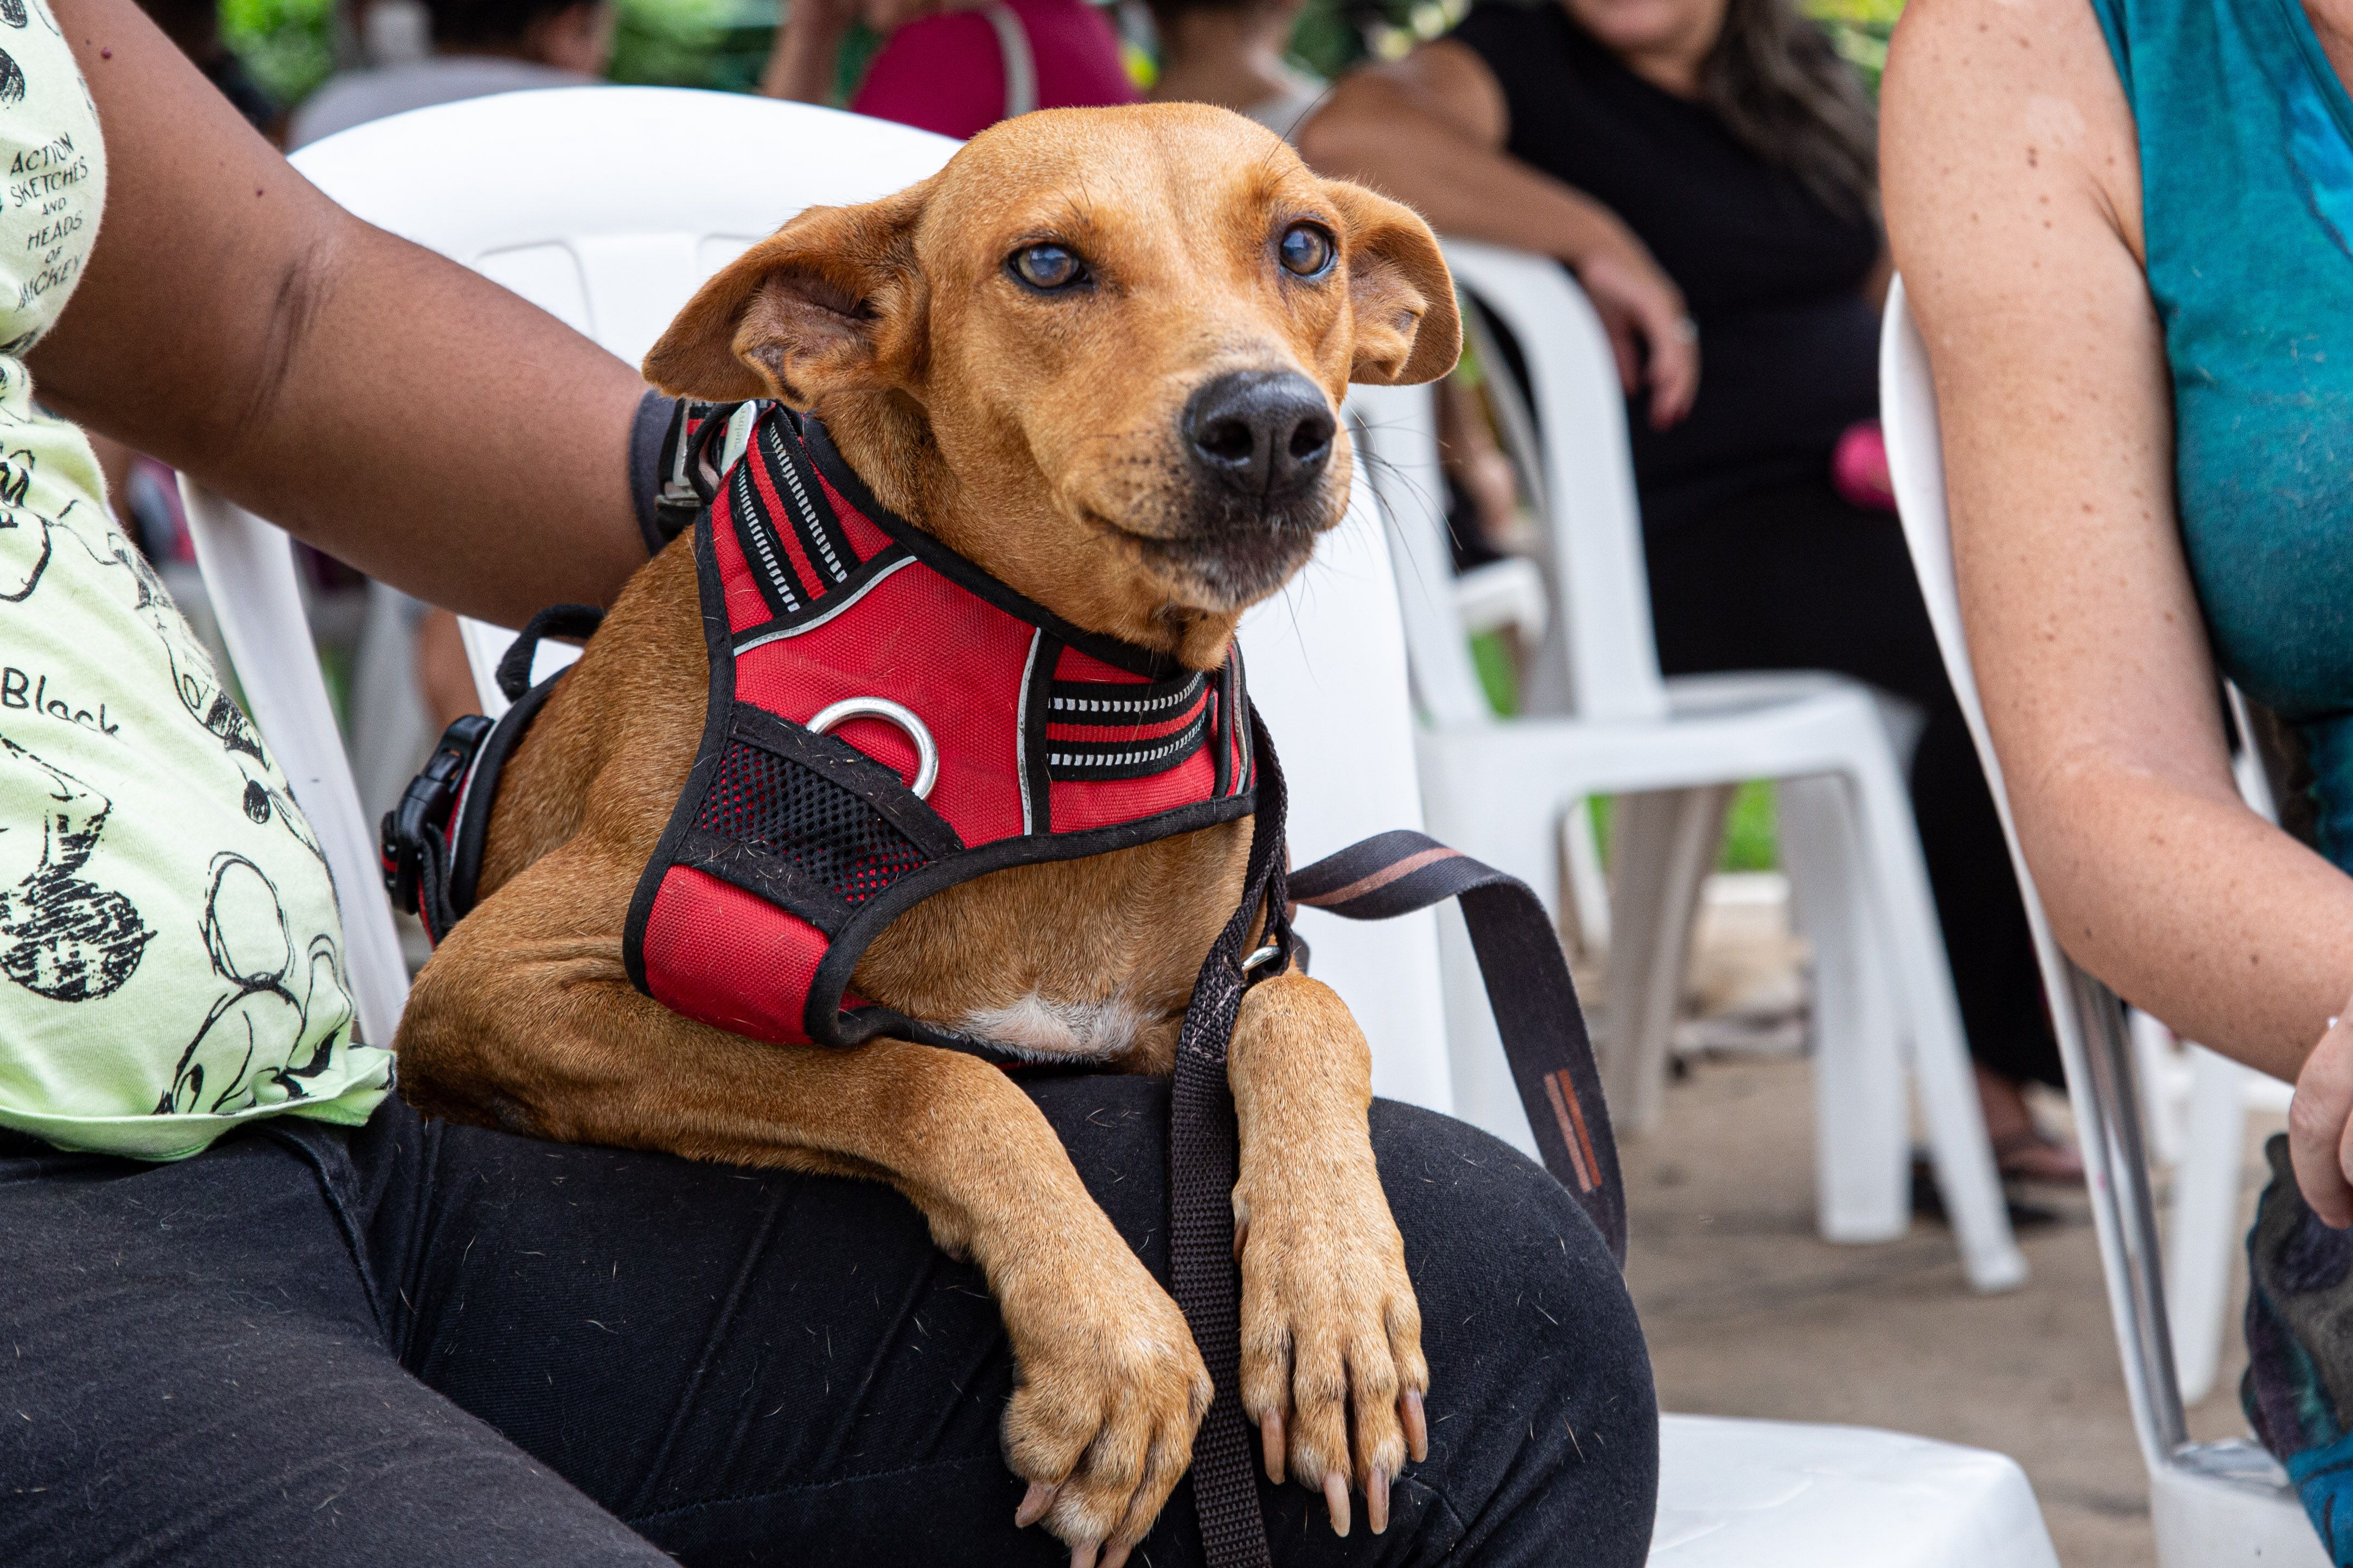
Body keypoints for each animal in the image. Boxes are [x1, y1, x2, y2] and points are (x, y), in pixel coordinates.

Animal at [390, 104, 1449, 1560]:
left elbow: (1305, 1011)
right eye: (1047, 265)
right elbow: (935, 1076)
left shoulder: (1191, 1006)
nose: (1272, 423)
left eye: (1304, 247)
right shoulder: (490, 987)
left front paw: (1335, 1301)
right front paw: (1111, 1343)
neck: (1055, 700)